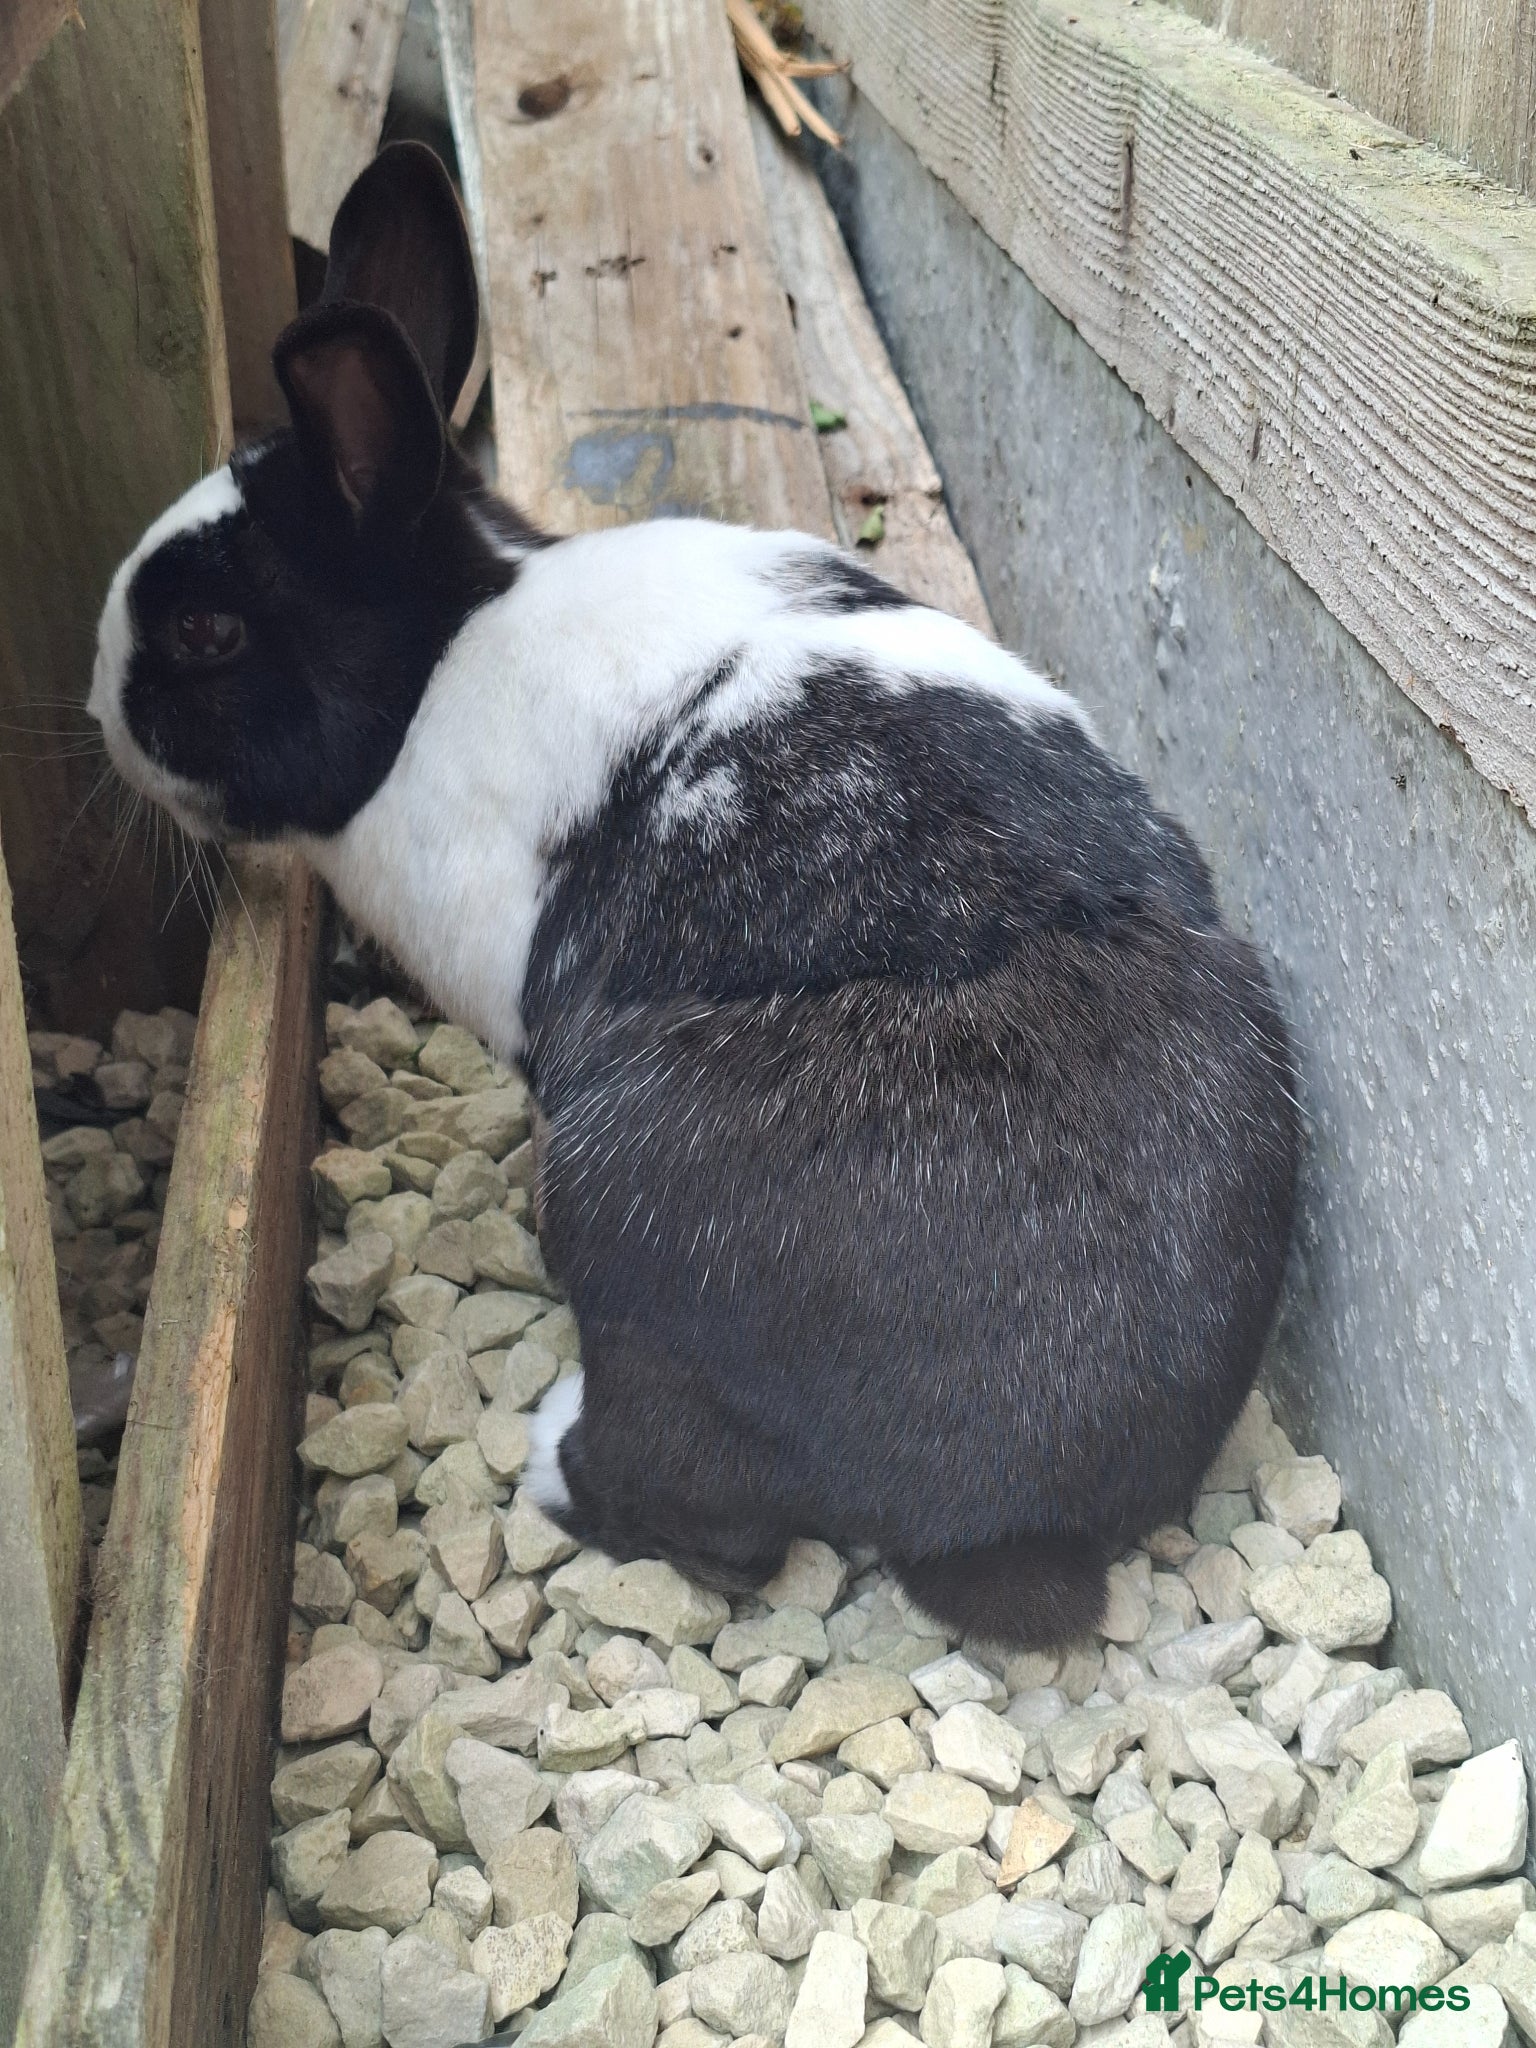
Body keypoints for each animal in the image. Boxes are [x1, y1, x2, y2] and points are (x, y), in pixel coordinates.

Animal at [89, 142, 1298, 1649]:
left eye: (206, 632)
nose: (98, 709)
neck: (442, 654)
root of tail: (1017, 1517)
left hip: (614, 1202)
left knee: (715, 1522)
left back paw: (552, 1453)